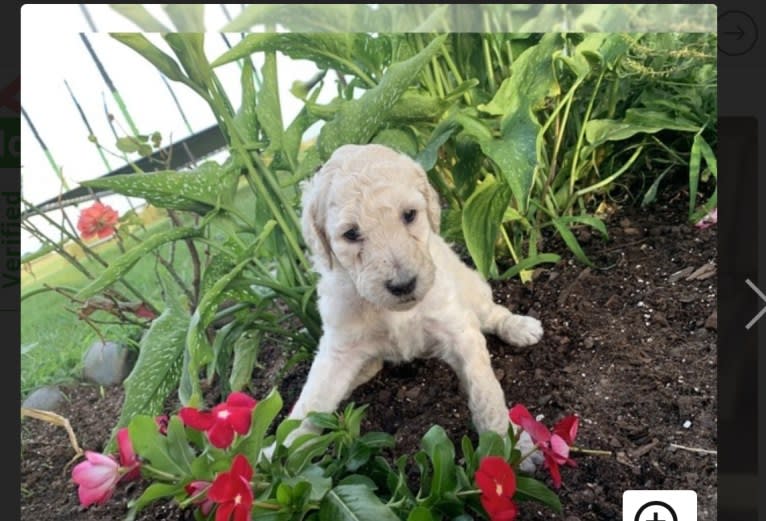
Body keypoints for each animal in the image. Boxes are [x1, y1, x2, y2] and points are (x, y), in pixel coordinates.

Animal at [288, 144, 544, 466]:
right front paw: (276, 456)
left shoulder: (456, 326)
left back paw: (520, 327)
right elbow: (309, 403)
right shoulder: (339, 346)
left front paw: (509, 445)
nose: (403, 285)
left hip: (471, 286)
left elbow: (485, 391)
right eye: (351, 233)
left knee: (492, 313)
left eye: (409, 215)